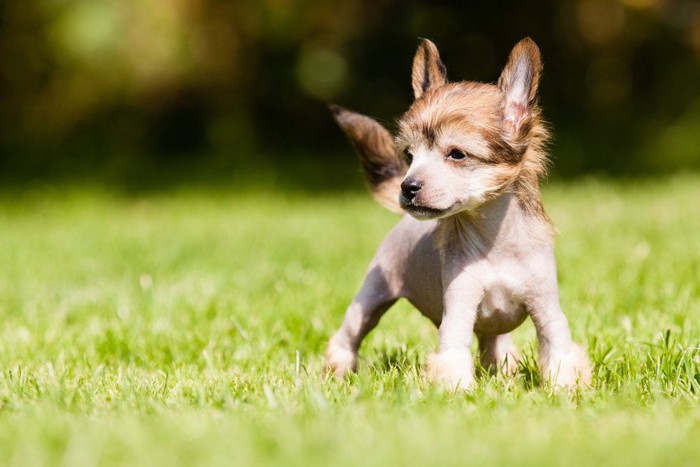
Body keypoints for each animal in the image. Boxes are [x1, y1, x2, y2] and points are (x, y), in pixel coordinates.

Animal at [326, 37, 592, 392]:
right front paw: (458, 393)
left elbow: (560, 351)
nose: (407, 186)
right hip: (370, 298)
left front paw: (564, 391)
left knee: (495, 345)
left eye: (457, 155)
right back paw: (338, 370)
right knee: (349, 336)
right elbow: (453, 355)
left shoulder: (547, 309)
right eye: (409, 155)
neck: (496, 244)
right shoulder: (459, 310)